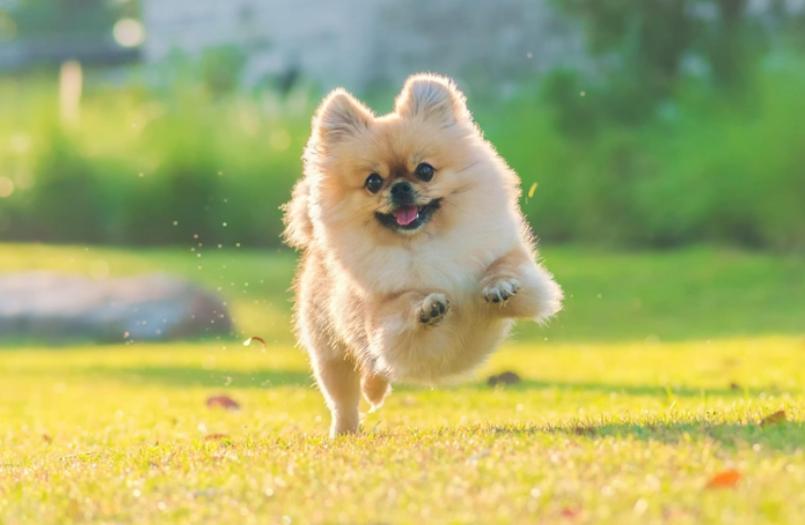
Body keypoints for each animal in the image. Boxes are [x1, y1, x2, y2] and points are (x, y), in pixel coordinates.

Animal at [286, 72, 564, 434]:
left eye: (425, 171)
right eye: (373, 182)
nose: (400, 187)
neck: (423, 242)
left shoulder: (522, 274)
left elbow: (506, 269)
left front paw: (498, 286)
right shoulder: (383, 324)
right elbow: (403, 307)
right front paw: (427, 306)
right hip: (330, 352)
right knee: (344, 397)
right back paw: (344, 431)